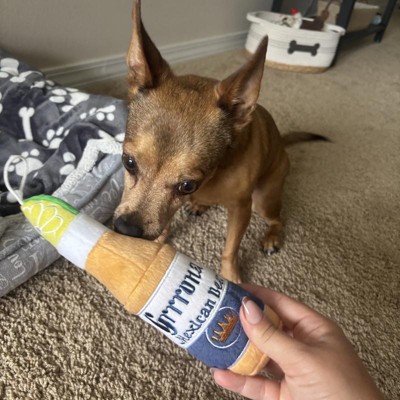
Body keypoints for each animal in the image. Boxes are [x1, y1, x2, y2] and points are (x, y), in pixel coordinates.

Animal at [114, 0, 326, 283]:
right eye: (128, 162)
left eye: (187, 185)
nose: (126, 229)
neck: (213, 178)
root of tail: (282, 143)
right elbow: (165, 222)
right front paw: (157, 246)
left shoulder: (241, 208)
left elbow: (230, 248)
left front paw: (230, 277)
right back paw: (199, 205)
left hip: (264, 200)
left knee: (277, 219)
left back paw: (271, 237)